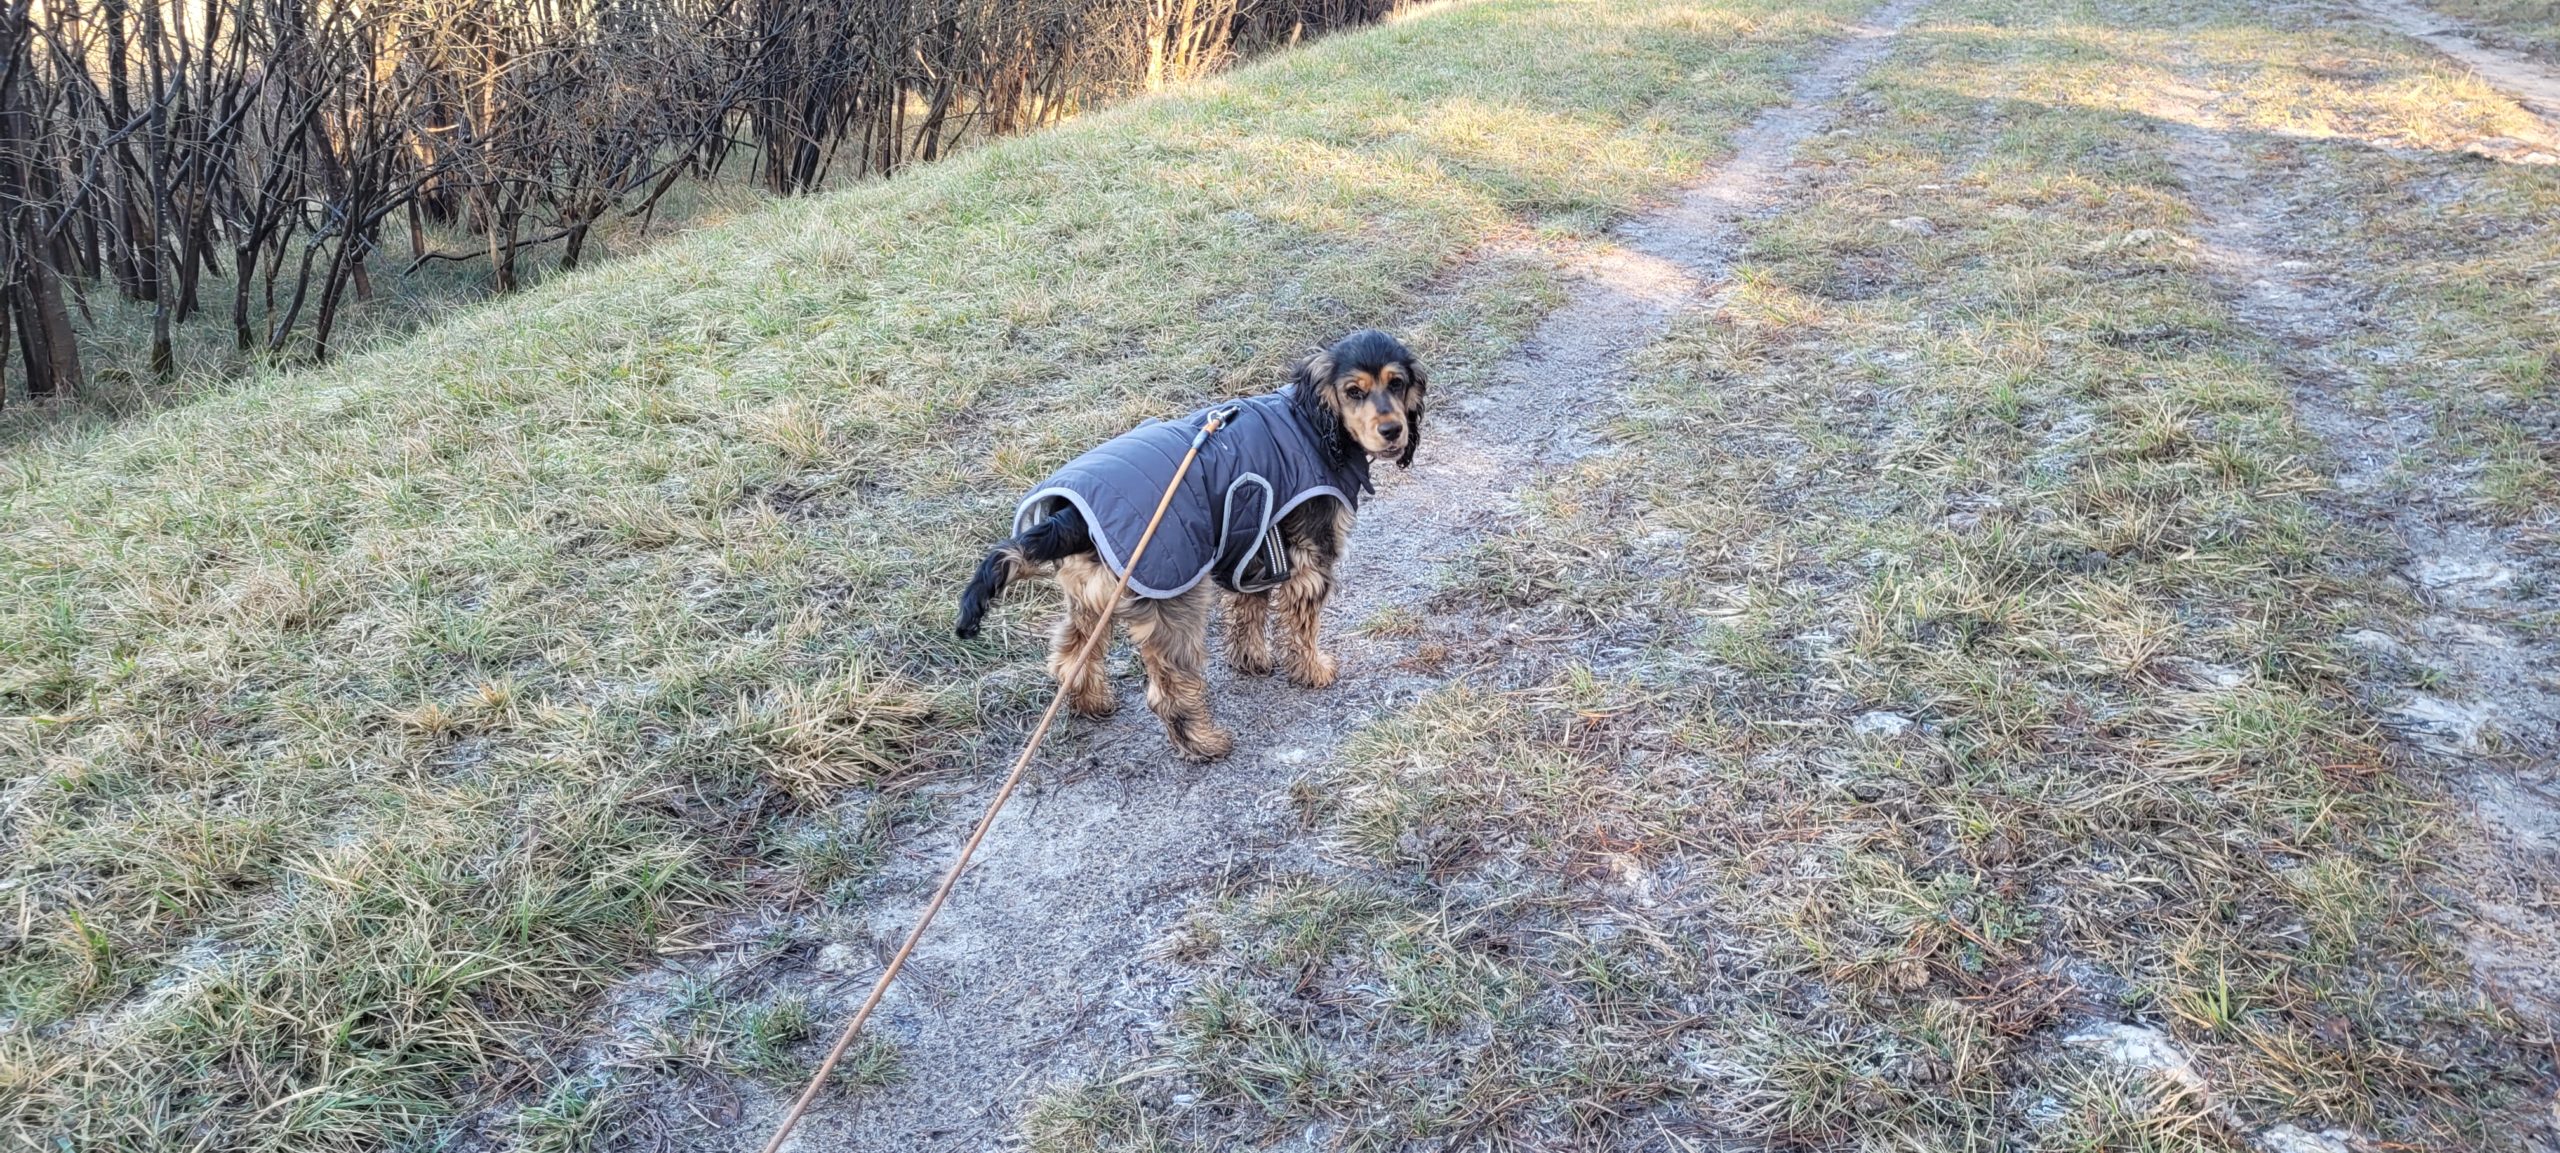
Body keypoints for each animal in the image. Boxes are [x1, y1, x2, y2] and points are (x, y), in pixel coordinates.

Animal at [957, 327, 1433, 763]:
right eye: (1353, 391)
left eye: (1397, 383)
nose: (1393, 430)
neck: (1310, 424)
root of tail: (1069, 516)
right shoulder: (1309, 558)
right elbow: (1301, 628)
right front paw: (1313, 671)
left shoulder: (1253, 541)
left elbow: (1248, 609)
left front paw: (1251, 660)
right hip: (1176, 603)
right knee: (1167, 693)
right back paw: (1205, 744)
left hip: (1091, 599)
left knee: (1069, 658)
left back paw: (1093, 704)